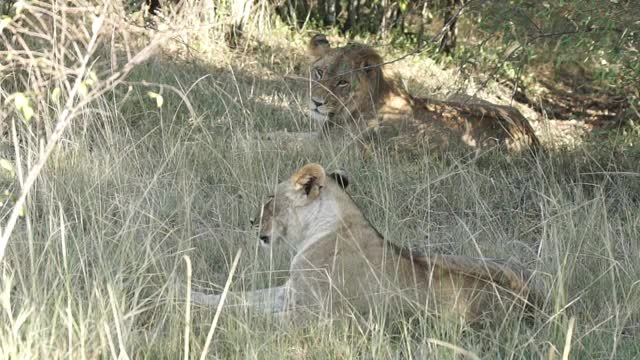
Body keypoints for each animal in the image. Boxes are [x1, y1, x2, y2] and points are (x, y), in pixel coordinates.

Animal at [186, 163, 544, 324]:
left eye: (270, 200)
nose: (250, 222)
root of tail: (534, 300)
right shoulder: (290, 292)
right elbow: (234, 297)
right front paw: (186, 293)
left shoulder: (317, 314)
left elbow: (244, 312)